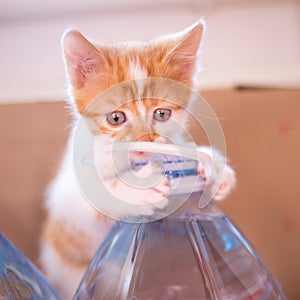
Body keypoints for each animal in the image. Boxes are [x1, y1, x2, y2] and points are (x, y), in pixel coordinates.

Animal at [40, 20, 237, 298]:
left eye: (162, 114)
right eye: (115, 118)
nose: (145, 139)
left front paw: (213, 164)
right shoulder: (65, 195)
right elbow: (88, 198)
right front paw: (140, 189)